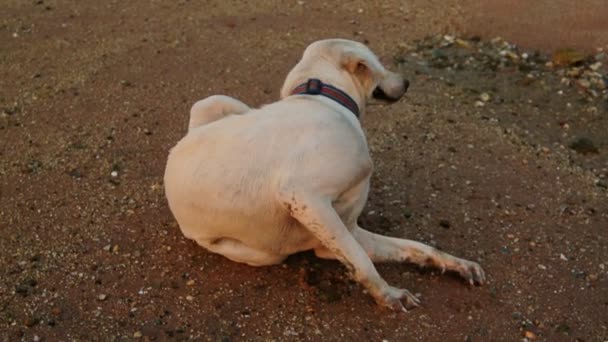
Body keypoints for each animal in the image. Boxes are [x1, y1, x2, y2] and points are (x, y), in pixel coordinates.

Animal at [163, 38, 484, 312]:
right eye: (375, 64)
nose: (406, 82)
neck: (320, 96)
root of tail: (170, 165)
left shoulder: (349, 230)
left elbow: (416, 247)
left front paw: (456, 264)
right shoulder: (303, 196)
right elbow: (363, 263)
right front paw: (388, 294)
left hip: (212, 101)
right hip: (265, 252)